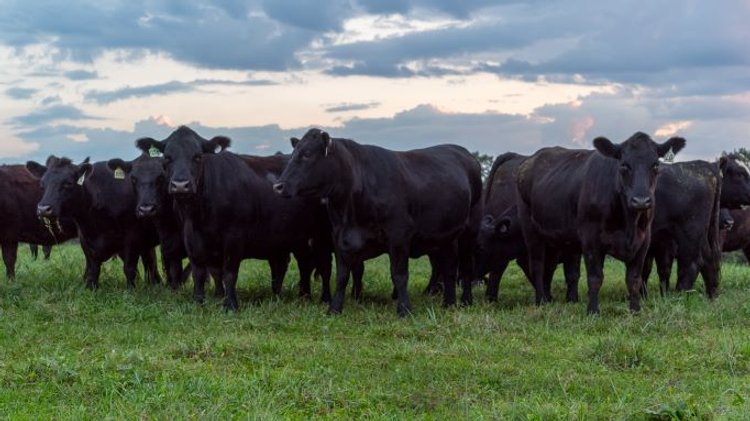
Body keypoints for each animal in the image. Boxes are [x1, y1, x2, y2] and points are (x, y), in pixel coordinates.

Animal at [26, 156, 162, 289]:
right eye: (42, 184)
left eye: (68, 183)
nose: (43, 209)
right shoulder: (86, 240)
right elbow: (93, 268)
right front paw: (91, 288)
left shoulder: (131, 238)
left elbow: (129, 268)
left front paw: (130, 291)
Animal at [134, 126, 333, 310]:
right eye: (167, 157)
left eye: (198, 156)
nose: (181, 185)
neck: (202, 214)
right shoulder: (192, 239)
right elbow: (202, 271)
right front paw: (201, 301)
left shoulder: (234, 238)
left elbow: (229, 272)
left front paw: (230, 304)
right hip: (296, 238)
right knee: (301, 264)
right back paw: (299, 296)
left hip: (321, 235)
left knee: (323, 266)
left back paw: (323, 299)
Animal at [273, 128, 483, 317]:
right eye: (293, 154)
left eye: (307, 154)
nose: (278, 186)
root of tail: (463, 152)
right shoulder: (339, 237)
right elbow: (341, 276)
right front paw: (334, 309)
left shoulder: (398, 235)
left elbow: (399, 275)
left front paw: (404, 309)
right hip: (447, 236)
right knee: (449, 267)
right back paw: (449, 303)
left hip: (469, 231)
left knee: (465, 267)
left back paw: (466, 301)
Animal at [516, 132, 685, 314]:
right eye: (624, 165)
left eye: (655, 165)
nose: (641, 200)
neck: (629, 224)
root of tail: (529, 160)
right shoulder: (590, 239)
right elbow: (595, 277)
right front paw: (593, 310)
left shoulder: (644, 240)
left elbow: (634, 278)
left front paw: (635, 310)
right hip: (531, 231)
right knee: (537, 266)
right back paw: (540, 301)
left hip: (559, 238)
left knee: (552, 268)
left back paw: (557, 299)